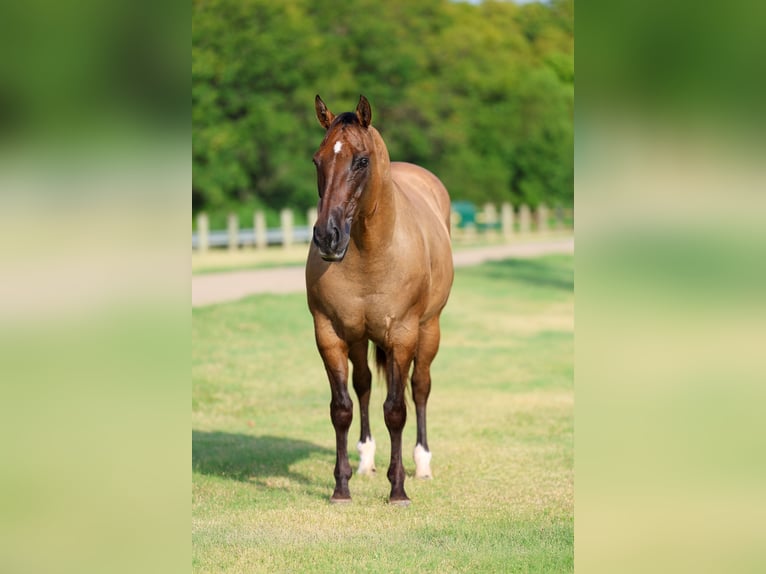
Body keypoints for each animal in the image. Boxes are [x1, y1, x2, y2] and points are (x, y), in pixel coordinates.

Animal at [305, 95, 454, 505]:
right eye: (317, 160)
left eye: (361, 160)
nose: (327, 237)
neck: (371, 252)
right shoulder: (330, 334)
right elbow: (342, 408)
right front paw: (341, 488)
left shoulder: (402, 335)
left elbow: (397, 409)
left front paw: (398, 489)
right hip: (359, 339)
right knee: (365, 385)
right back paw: (366, 459)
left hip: (428, 330)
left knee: (420, 387)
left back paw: (422, 463)